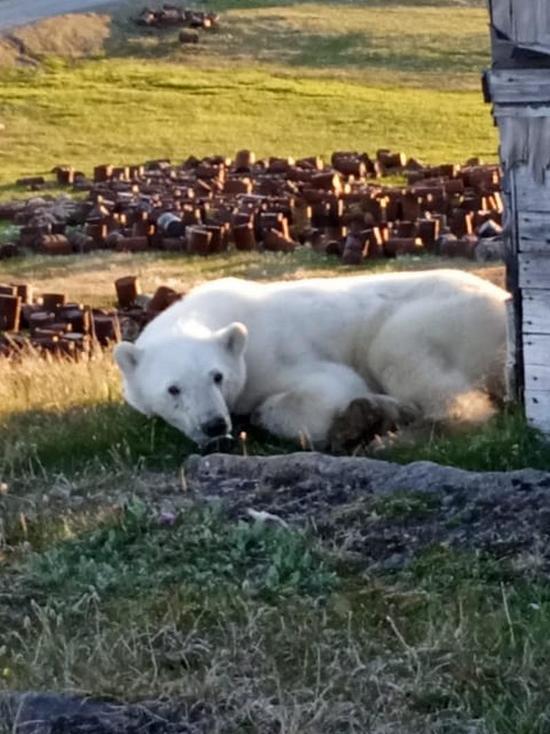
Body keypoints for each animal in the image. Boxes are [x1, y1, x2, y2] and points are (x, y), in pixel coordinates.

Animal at [114, 270, 512, 448]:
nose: (214, 425)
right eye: (173, 389)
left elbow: (329, 388)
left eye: (217, 376)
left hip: (441, 318)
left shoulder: (273, 354)